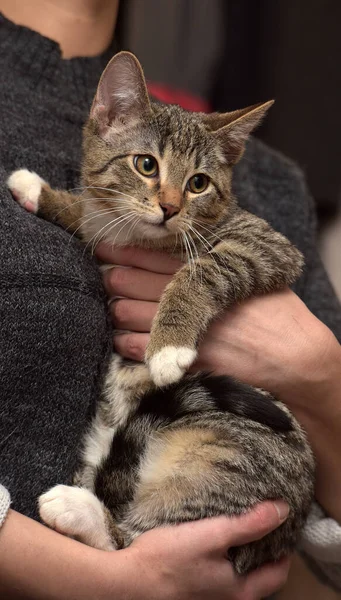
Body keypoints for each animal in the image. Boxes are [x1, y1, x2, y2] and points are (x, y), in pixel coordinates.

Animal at [7, 51, 314, 572]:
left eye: (199, 184)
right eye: (146, 164)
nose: (170, 207)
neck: (139, 240)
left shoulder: (267, 244)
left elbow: (204, 269)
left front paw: (168, 346)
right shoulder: (108, 230)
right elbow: (89, 216)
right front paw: (40, 191)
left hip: (228, 458)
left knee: (138, 542)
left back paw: (79, 511)